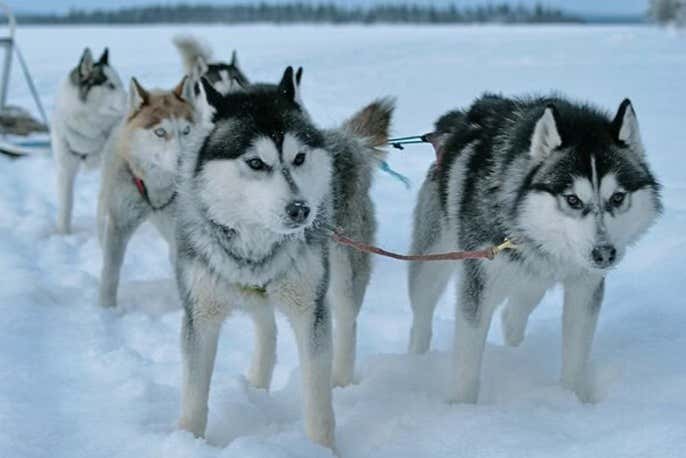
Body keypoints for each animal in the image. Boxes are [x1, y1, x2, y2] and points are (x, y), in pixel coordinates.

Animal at [51, 48, 127, 234]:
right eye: (110, 85)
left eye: (120, 83)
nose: (131, 98)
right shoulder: (65, 169)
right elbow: (65, 206)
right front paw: (63, 234)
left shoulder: (110, 168)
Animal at [97, 78, 199, 308]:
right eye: (160, 132)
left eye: (186, 131)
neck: (157, 186)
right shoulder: (119, 224)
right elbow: (110, 273)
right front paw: (106, 309)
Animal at [175, 69, 396, 448]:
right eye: (255, 162)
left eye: (299, 158)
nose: (301, 210)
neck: (257, 242)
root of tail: (343, 139)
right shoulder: (199, 314)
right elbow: (192, 396)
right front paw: (186, 441)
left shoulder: (310, 311)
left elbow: (318, 401)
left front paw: (322, 449)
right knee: (267, 326)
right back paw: (257, 384)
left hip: (342, 275)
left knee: (346, 322)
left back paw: (342, 380)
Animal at [412, 95, 664, 402]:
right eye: (573, 200)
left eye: (617, 198)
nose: (604, 254)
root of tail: (458, 120)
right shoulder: (479, 285)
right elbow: (467, 362)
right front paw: (462, 406)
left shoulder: (584, 287)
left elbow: (576, 354)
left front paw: (571, 399)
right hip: (433, 263)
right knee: (422, 315)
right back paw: (416, 359)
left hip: (532, 280)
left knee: (514, 313)